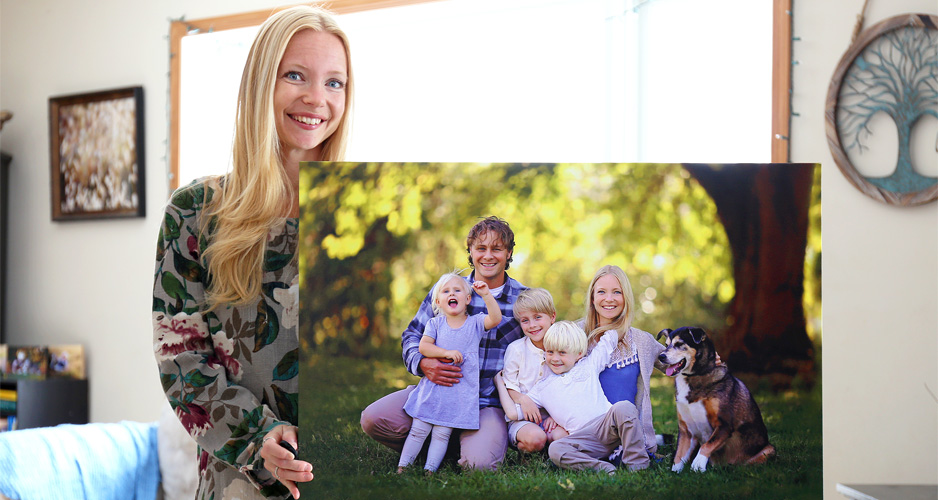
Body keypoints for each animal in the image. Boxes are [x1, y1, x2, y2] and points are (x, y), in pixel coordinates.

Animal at [656, 326, 772, 470]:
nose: (661, 356)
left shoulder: (724, 424)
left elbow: (708, 444)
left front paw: (698, 464)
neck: (695, 375)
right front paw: (675, 472)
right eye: (666, 345)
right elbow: (678, 457)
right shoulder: (686, 430)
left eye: (679, 344)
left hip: (769, 450)